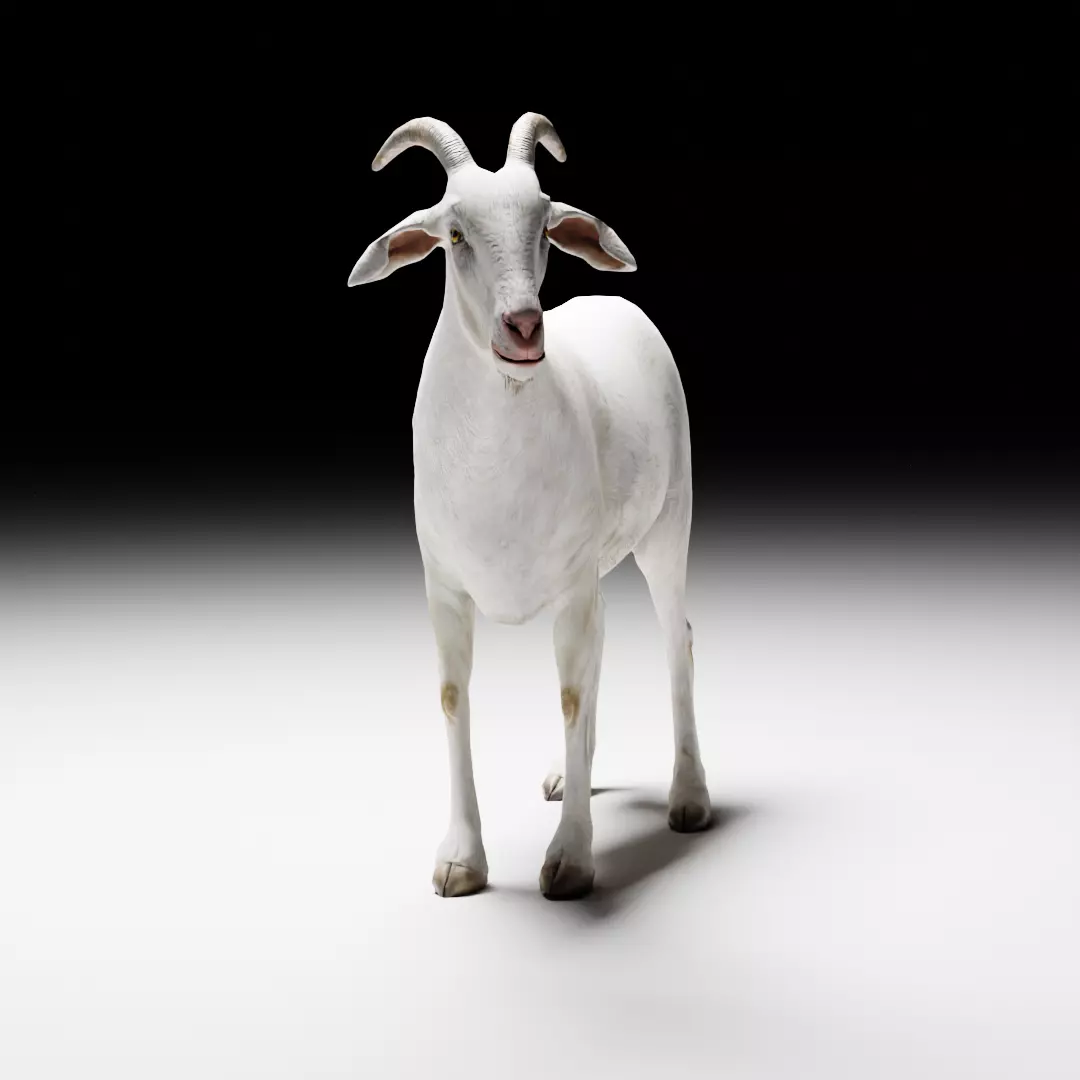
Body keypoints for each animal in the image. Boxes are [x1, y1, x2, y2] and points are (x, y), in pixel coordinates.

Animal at [348, 114, 711, 900]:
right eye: (455, 234)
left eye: (544, 227)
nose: (523, 327)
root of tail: (616, 303)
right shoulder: (446, 588)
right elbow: (455, 696)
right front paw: (461, 859)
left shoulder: (571, 590)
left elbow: (570, 694)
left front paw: (571, 859)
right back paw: (568, 776)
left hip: (666, 531)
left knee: (678, 640)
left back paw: (689, 798)